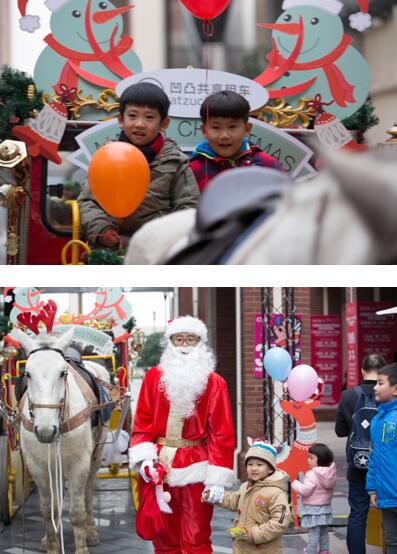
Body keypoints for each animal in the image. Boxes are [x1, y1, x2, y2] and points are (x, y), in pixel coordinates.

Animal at [14, 328, 110, 552]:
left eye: (62, 373)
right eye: (27, 374)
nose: (45, 430)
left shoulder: (80, 463)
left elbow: (77, 511)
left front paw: (82, 547)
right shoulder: (36, 465)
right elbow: (48, 508)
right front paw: (51, 544)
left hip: (96, 453)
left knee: (88, 492)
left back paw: (91, 531)